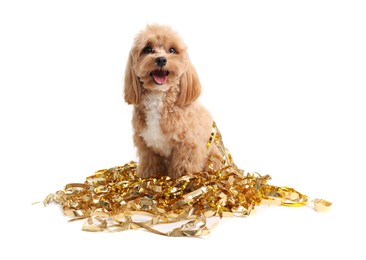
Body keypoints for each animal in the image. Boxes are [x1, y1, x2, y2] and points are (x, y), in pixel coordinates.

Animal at [124, 24, 219, 179]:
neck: (159, 97)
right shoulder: (146, 147)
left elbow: (183, 171)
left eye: (172, 50)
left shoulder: (187, 147)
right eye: (147, 49)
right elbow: (150, 168)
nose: (161, 59)